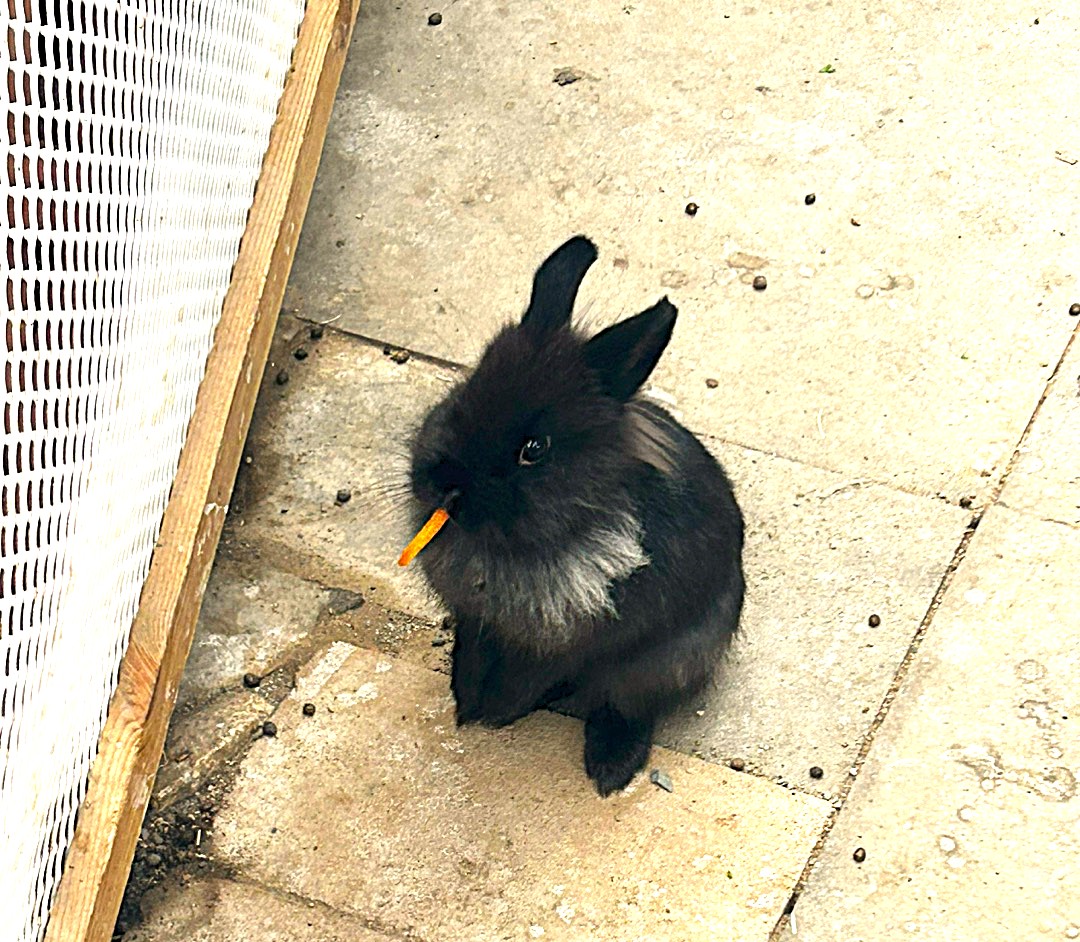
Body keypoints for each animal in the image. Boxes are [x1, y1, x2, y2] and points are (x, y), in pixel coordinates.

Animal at [406, 235, 745, 796]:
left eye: (534, 449)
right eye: (460, 399)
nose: (444, 485)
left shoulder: (571, 645)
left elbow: (531, 680)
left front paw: (492, 713)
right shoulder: (477, 621)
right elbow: (470, 655)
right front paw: (465, 704)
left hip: (668, 660)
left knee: (627, 705)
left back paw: (610, 769)